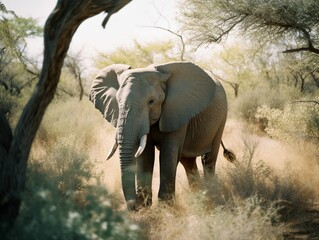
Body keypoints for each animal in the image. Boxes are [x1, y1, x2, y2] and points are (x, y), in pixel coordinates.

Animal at [89, 61, 236, 210]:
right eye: (118, 102)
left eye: (151, 101)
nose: (134, 206)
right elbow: (145, 155)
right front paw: (146, 207)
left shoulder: (176, 110)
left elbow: (168, 154)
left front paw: (166, 208)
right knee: (188, 162)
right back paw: (199, 194)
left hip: (221, 119)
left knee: (208, 159)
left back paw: (210, 193)